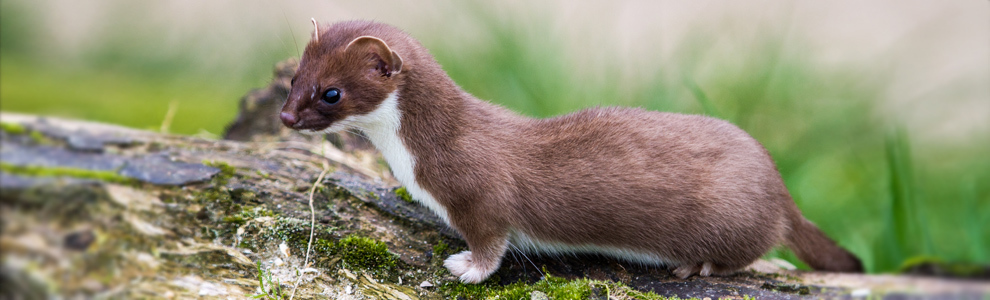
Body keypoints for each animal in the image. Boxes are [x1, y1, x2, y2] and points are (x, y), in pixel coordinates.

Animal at [280, 19, 868, 282]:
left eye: (331, 92)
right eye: (293, 77)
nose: (286, 118)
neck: (416, 157)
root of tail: (777, 181)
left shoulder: (481, 195)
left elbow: (492, 241)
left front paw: (467, 266)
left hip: (732, 216)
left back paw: (698, 266)